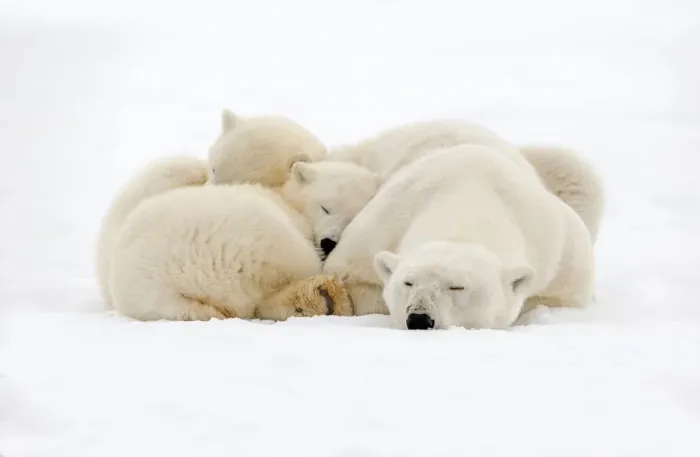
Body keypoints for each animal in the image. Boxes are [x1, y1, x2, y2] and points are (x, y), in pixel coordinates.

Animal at [323, 144, 594, 328]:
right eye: (408, 282)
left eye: (457, 287)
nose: (420, 319)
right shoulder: (385, 222)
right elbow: (351, 275)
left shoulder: (556, 245)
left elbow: (560, 297)